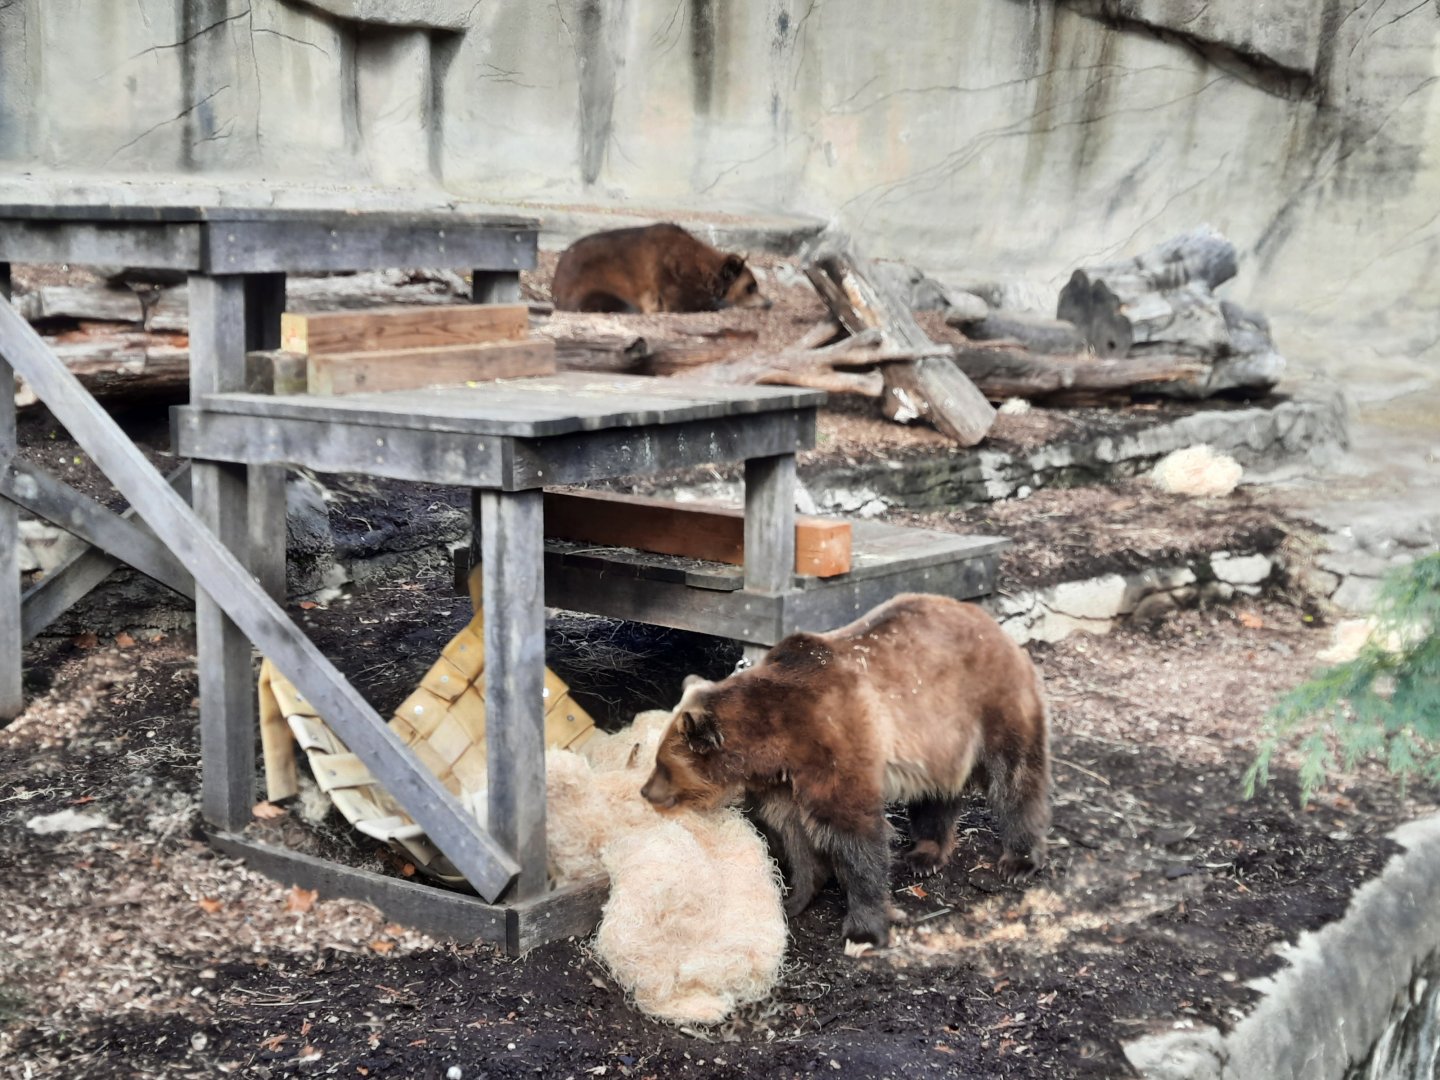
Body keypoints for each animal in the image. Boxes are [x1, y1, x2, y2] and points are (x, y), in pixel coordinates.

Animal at [640, 593, 1051, 947]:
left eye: (663, 765)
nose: (646, 791)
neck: (774, 740)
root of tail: (991, 622)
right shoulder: (784, 781)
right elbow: (795, 837)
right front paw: (794, 899)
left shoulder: (835, 744)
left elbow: (854, 835)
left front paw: (863, 928)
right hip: (938, 739)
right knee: (936, 792)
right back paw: (925, 854)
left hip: (988, 701)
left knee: (1015, 775)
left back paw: (1017, 858)